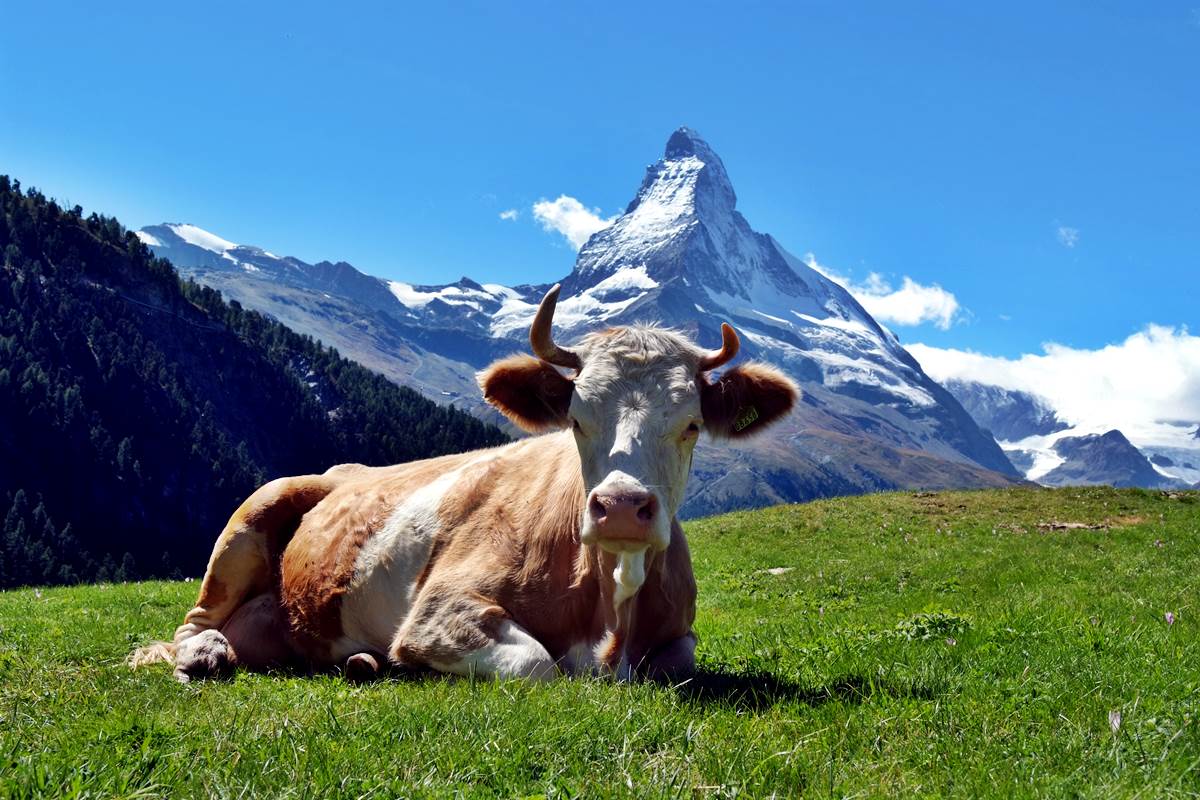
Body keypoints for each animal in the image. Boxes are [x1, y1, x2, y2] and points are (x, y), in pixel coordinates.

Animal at [129, 284, 796, 686]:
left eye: (691, 425)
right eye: (577, 420)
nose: (623, 507)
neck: (610, 613)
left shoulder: (679, 634)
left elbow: (679, 660)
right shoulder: (438, 612)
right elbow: (538, 664)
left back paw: (359, 659)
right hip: (249, 518)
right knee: (190, 623)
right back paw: (206, 653)